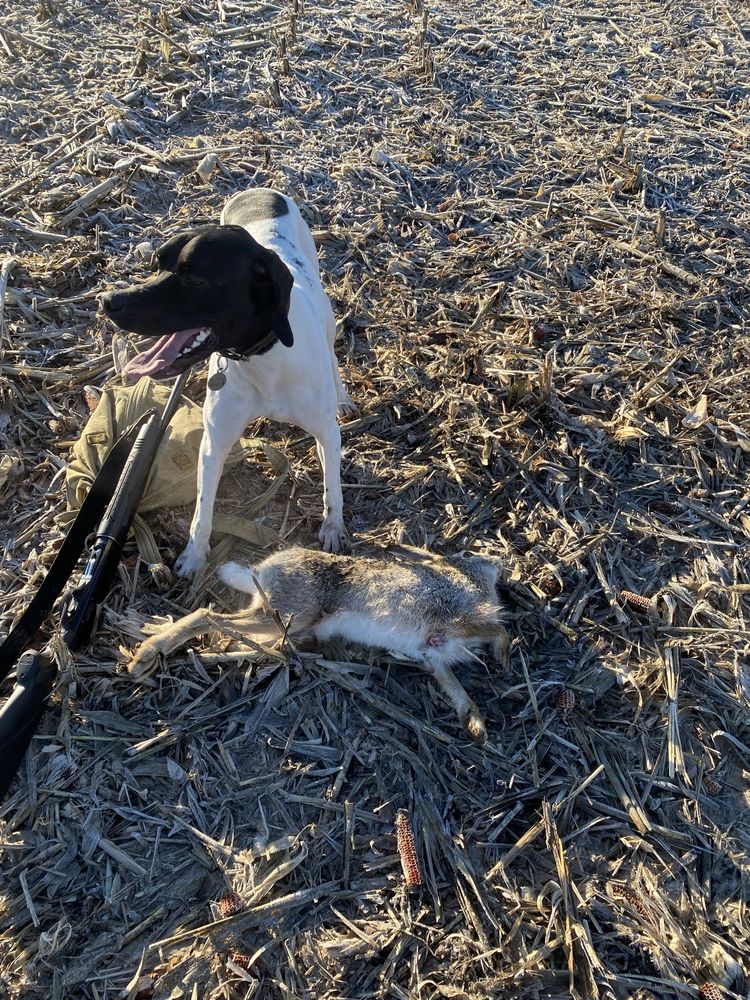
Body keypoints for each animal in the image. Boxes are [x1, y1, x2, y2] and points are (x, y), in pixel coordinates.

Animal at [101, 190, 356, 576]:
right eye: (157, 264)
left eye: (194, 279)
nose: (108, 301)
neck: (263, 357)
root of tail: (261, 192)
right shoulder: (214, 441)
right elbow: (203, 507)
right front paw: (194, 555)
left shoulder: (326, 432)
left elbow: (333, 488)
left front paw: (332, 527)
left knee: (333, 357)